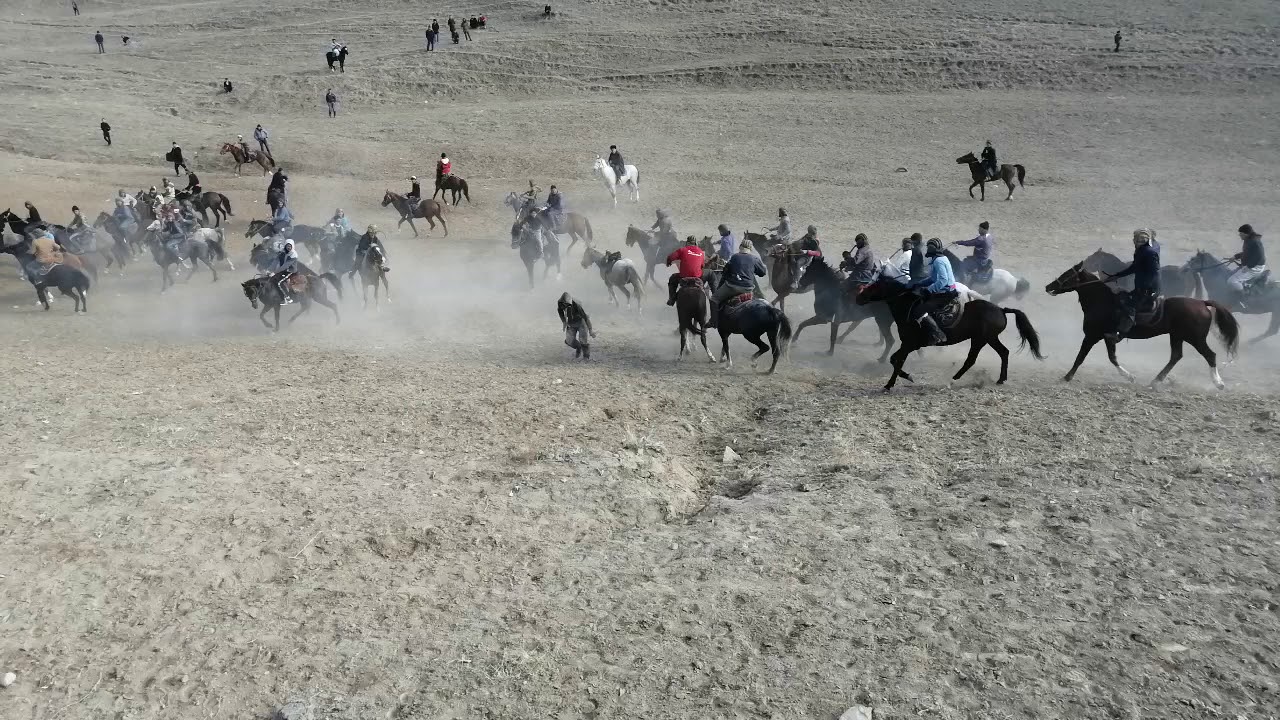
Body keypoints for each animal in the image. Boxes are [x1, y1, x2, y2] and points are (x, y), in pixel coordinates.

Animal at [855, 271, 1044, 389]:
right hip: (989, 338)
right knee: (1004, 352)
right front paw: (901, 379)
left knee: (971, 360)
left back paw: (952, 381)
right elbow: (895, 360)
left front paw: (893, 383)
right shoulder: (907, 345)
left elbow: (896, 361)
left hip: (980, 339)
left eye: (874, 286)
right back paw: (1000, 379)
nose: (858, 297)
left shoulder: (910, 344)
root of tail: (1001, 309)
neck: (907, 307)